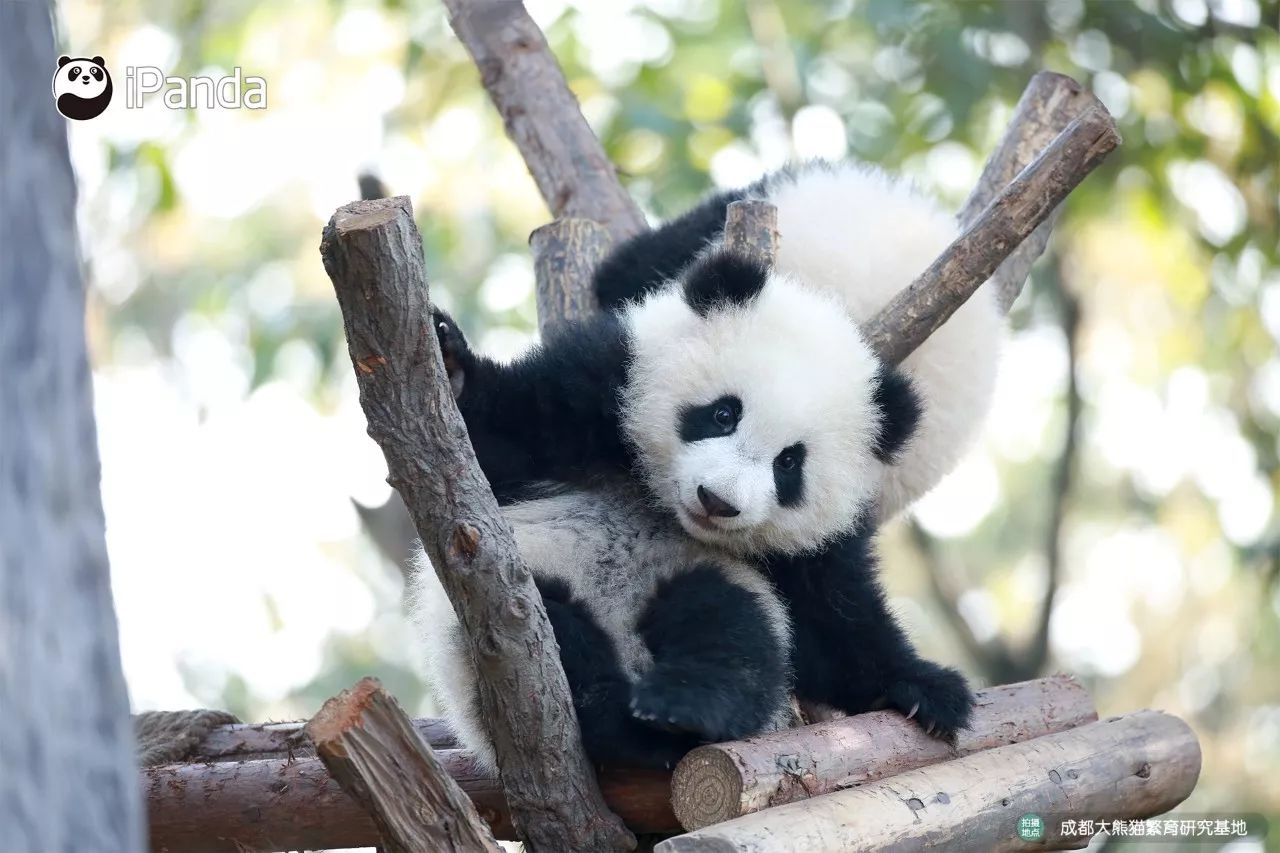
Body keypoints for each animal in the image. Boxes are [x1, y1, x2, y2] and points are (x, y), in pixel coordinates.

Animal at [407, 161, 988, 768]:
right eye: (723, 414)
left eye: (789, 464)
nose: (719, 502)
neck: (660, 504)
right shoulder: (597, 392)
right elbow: (496, 437)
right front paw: (450, 362)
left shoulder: (811, 549)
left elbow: (837, 625)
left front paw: (926, 688)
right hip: (503, 618)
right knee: (547, 622)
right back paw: (607, 706)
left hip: (706, 586)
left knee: (729, 628)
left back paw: (677, 708)